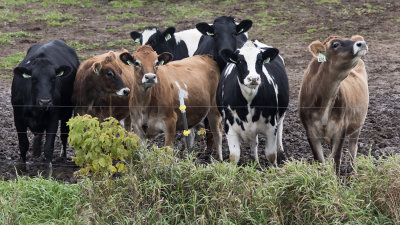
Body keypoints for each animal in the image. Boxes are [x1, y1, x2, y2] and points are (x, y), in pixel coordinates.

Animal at [11, 39, 79, 170]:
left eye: (53, 79)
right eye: (33, 79)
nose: (45, 101)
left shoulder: (53, 119)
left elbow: (48, 147)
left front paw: (49, 170)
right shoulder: (18, 118)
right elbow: (23, 143)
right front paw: (22, 166)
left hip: (67, 112)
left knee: (64, 133)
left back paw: (62, 156)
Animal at [298, 35, 370, 173]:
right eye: (335, 44)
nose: (361, 43)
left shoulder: (340, 129)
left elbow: (335, 159)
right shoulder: (310, 132)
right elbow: (320, 161)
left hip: (358, 125)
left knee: (353, 149)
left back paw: (352, 173)